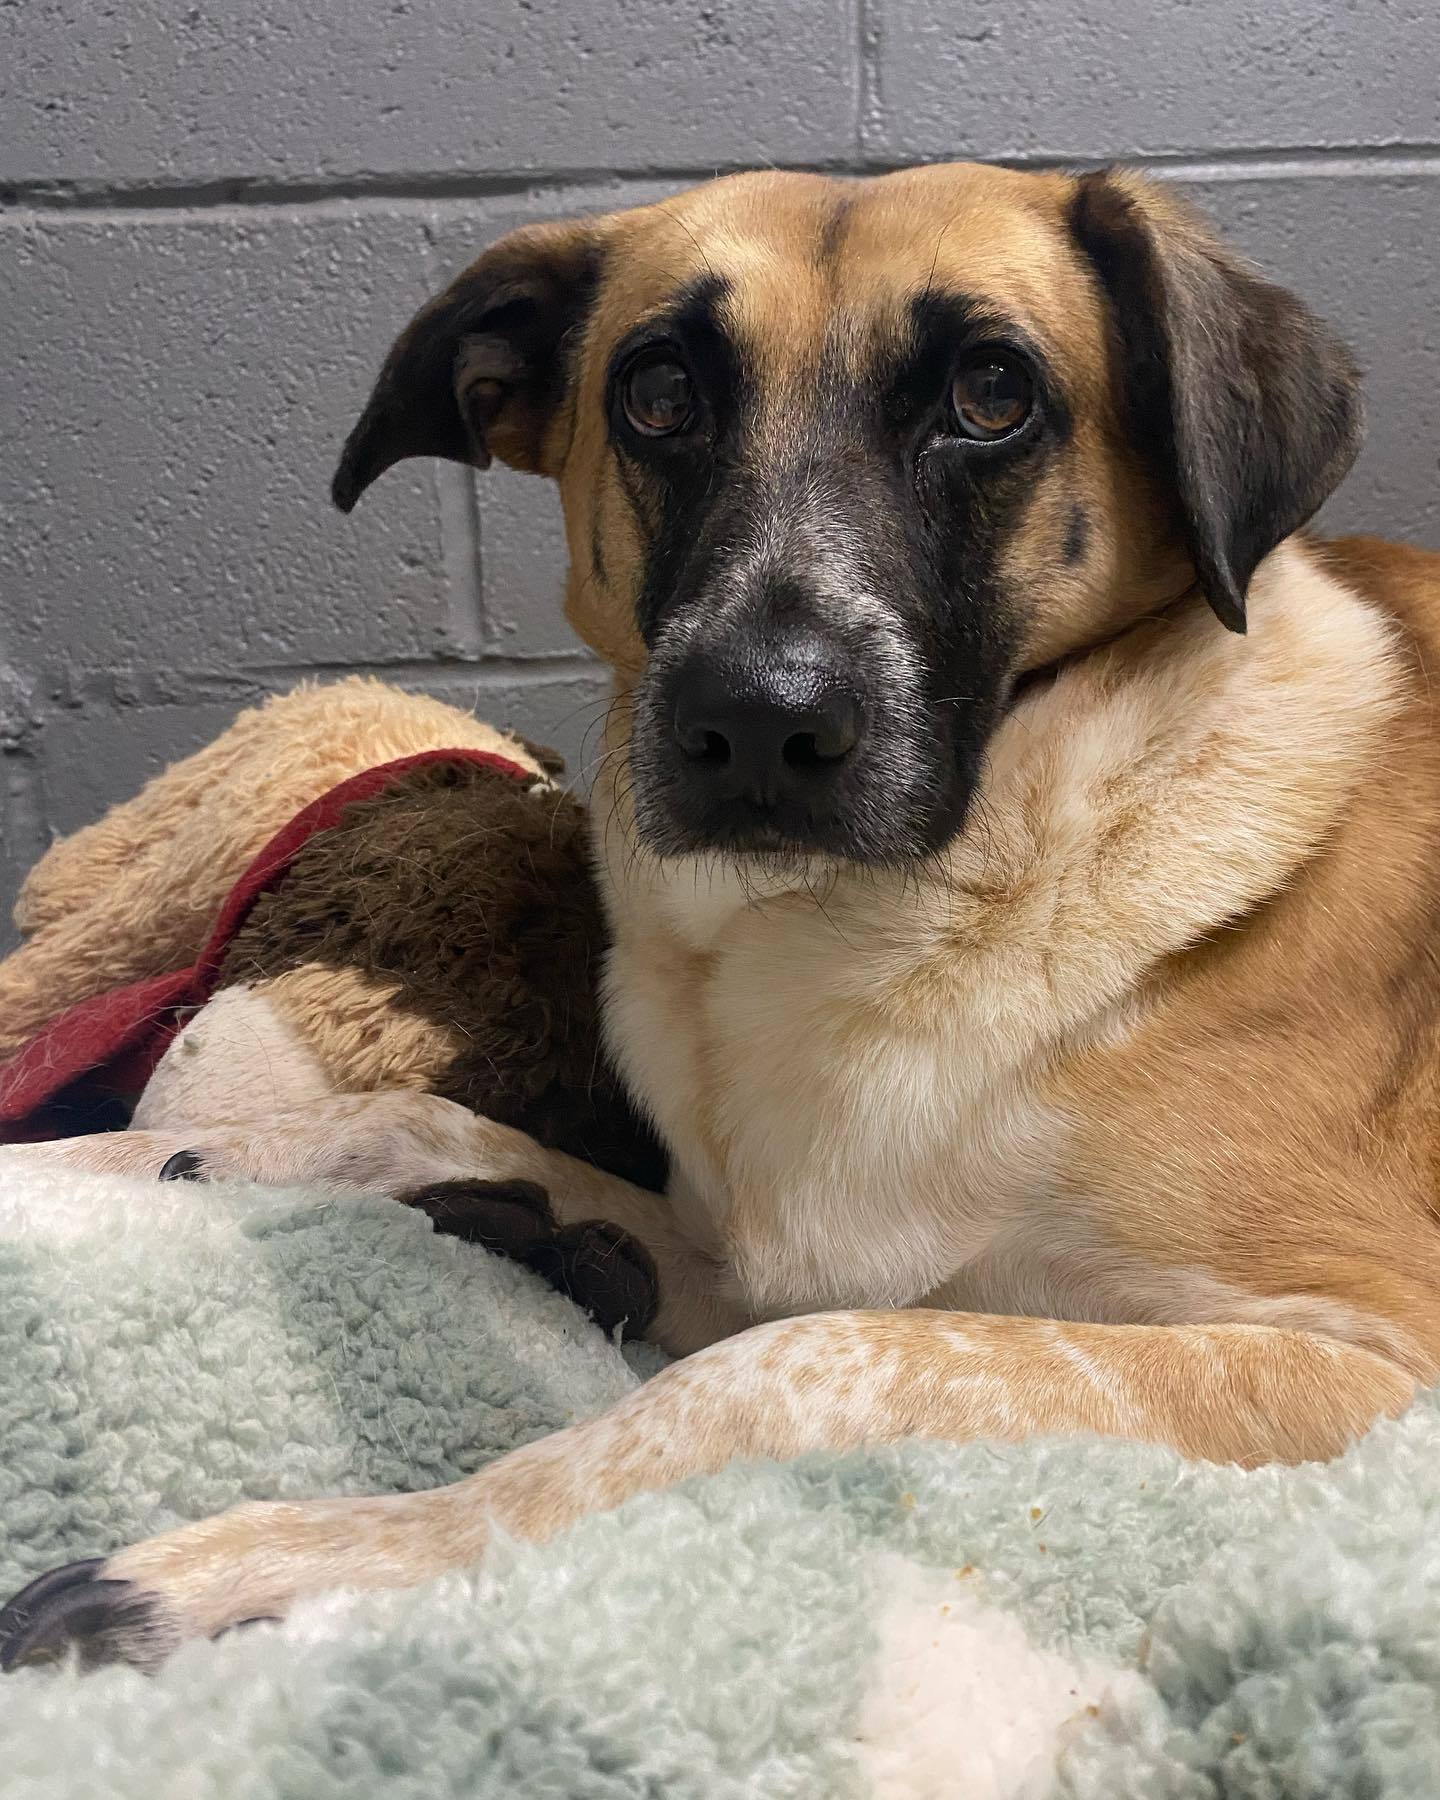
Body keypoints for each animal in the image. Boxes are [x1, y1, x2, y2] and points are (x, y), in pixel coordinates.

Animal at [2, 165, 1440, 1670]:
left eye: (993, 392)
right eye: (658, 392)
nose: (755, 721)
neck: (869, 919)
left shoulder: (1366, 1360)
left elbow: (771, 1371)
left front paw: (305, 1553)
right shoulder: (739, 1253)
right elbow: (412, 1120)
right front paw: (124, 1164)